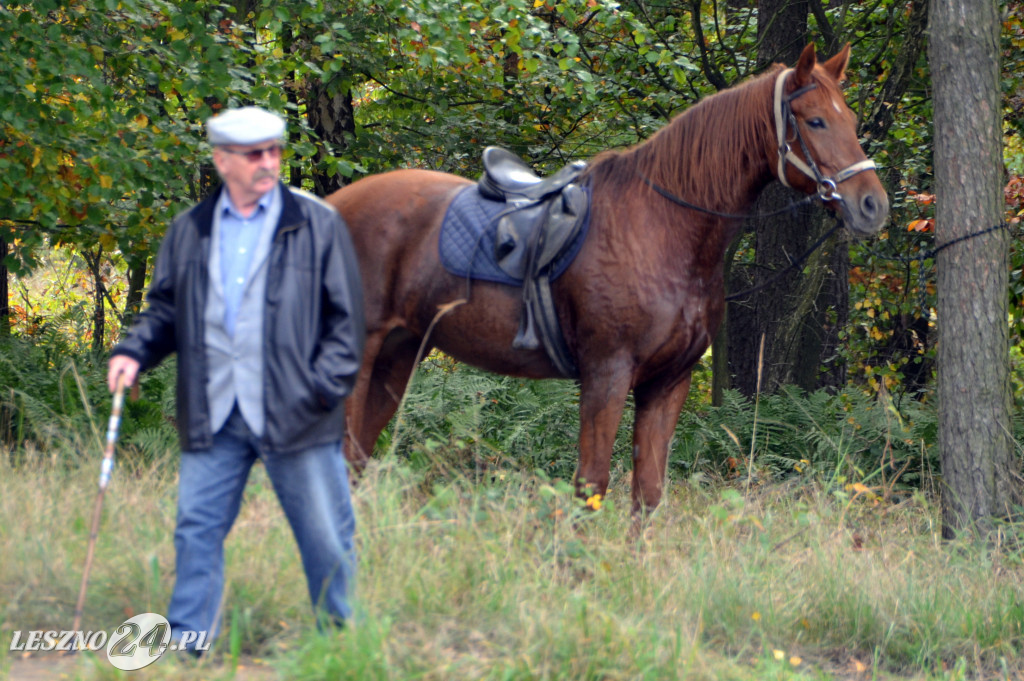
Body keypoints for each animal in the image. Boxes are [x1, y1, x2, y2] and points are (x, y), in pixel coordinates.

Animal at [327, 42, 888, 520]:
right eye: (815, 120)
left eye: (852, 119)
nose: (872, 205)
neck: (663, 227)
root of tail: (332, 205)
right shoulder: (607, 374)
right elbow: (591, 486)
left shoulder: (668, 384)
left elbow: (648, 493)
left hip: (399, 357)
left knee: (356, 459)